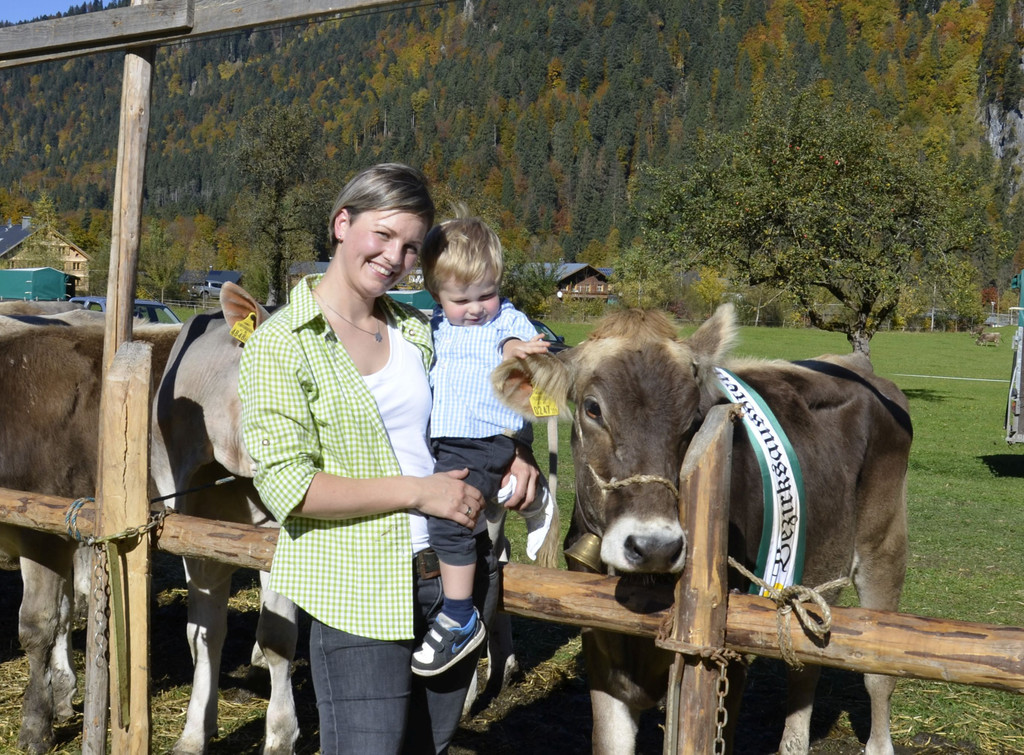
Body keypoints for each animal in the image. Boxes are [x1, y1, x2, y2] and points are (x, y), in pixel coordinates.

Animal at [491, 305, 912, 755]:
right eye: (592, 408)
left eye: (695, 415)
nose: (654, 546)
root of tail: (853, 365)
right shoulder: (600, 647)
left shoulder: (730, 649)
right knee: (805, 671)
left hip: (885, 547)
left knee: (877, 676)